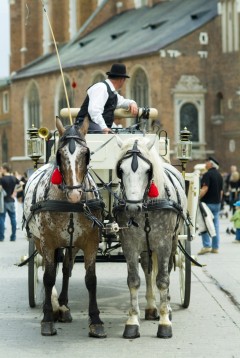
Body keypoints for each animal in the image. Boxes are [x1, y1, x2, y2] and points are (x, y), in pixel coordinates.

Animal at [113, 135, 188, 338]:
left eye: (148, 170)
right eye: (120, 170)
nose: (132, 208)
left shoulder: (163, 243)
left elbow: (162, 280)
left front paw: (164, 322)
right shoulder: (129, 244)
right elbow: (134, 280)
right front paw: (132, 321)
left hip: (173, 240)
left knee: (167, 268)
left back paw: (166, 307)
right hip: (146, 245)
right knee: (147, 268)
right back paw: (151, 307)